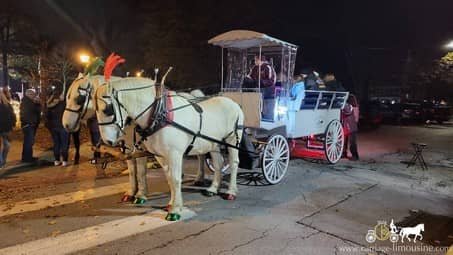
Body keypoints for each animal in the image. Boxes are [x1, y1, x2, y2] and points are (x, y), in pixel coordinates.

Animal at [95, 76, 244, 220]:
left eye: (107, 109)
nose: (108, 141)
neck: (159, 114)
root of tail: (234, 103)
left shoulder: (174, 154)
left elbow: (175, 178)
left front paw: (175, 210)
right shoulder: (160, 155)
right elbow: (168, 178)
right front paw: (171, 204)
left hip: (232, 140)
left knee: (234, 163)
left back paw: (231, 191)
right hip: (213, 143)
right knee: (218, 163)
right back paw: (212, 188)